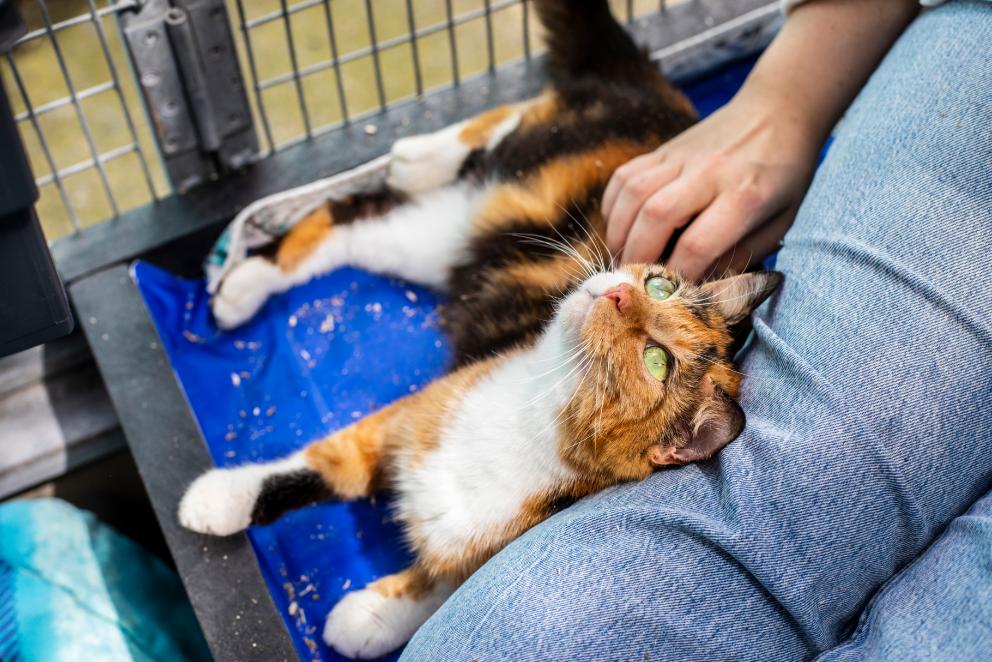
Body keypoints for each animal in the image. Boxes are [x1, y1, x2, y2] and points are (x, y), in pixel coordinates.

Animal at [180, 2, 784, 660]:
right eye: (660, 286)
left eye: (657, 361)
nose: (618, 291)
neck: (529, 416)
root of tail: (661, 99)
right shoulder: (405, 418)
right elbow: (308, 469)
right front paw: (218, 500)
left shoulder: (485, 549)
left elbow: (442, 594)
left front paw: (370, 616)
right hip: (463, 219)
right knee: (375, 198)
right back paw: (399, 169)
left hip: (444, 242)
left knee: (356, 219)